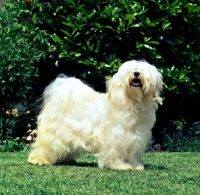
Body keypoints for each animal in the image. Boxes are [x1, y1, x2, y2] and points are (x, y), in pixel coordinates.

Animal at [27, 60, 162, 170]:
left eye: (142, 70)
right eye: (131, 70)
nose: (136, 73)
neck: (131, 103)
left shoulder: (135, 138)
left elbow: (132, 155)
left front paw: (135, 166)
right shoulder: (115, 138)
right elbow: (116, 153)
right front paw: (120, 166)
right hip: (53, 133)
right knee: (46, 146)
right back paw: (38, 160)